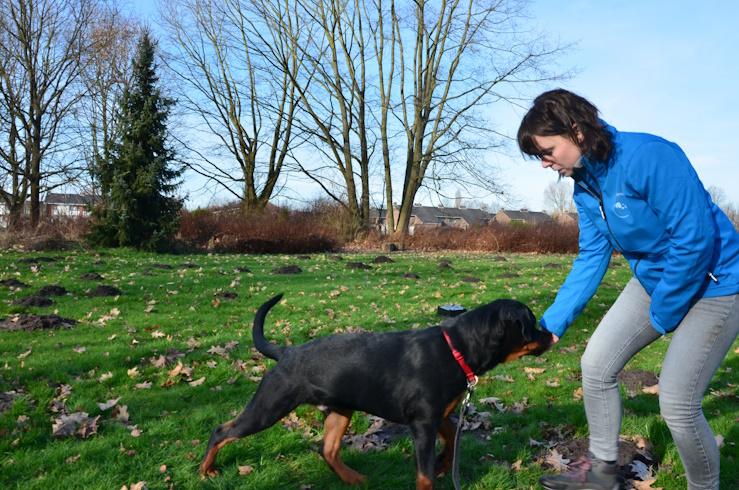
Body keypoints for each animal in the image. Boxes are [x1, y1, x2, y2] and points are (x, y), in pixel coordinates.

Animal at [200, 293, 553, 489]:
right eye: (532, 323)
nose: (550, 334)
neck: (458, 348)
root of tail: (286, 352)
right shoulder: (422, 422)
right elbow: (424, 474)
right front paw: (435, 469)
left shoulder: (437, 415)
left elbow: (453, 438)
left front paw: (443, 463)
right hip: (270, 405)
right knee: (222, 431)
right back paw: (206, 470)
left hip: (340, 410)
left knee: (327, 450)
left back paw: (353, 479)